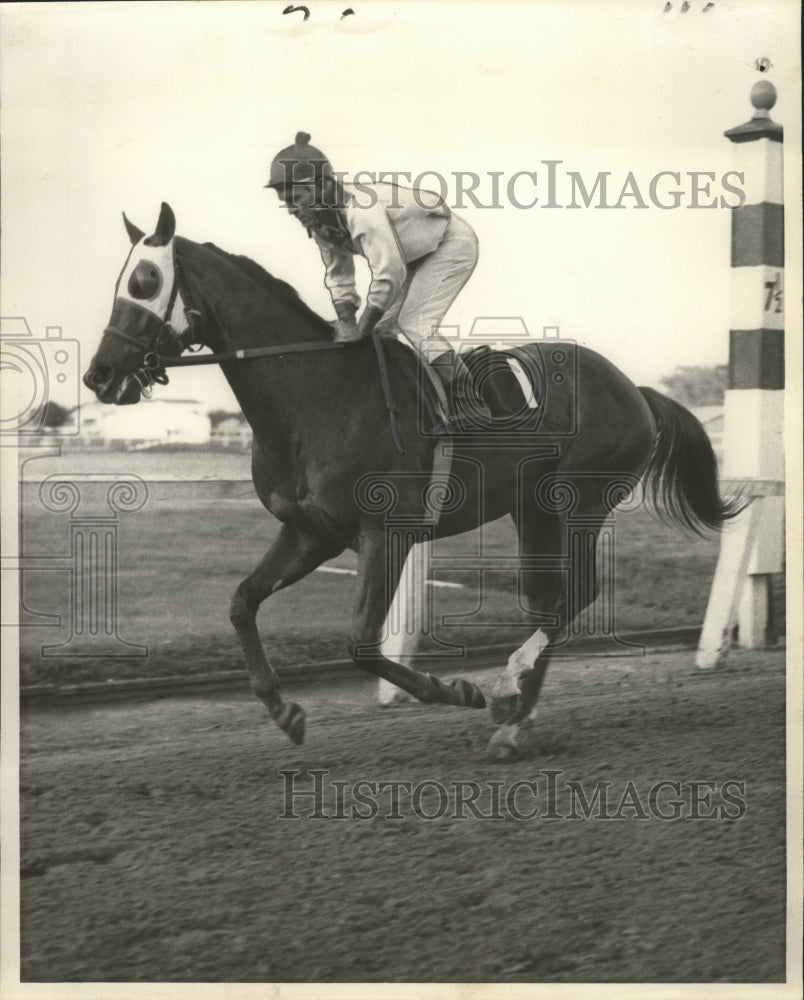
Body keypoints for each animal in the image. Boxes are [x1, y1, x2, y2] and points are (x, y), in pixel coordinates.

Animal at [83, 203, 740, 756]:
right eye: (119, 282)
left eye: (144, 281)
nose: (100, 374)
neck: (314, 396)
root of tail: (636, 390)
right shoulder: (309, 533)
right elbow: (242, 602)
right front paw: (283, 709)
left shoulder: (386, 533)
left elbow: (361, 642)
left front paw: (457, 690)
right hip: (532, 509)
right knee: (549, 600)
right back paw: (514, 720)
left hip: (581, 501)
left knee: (576, 594)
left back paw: (505, 686)